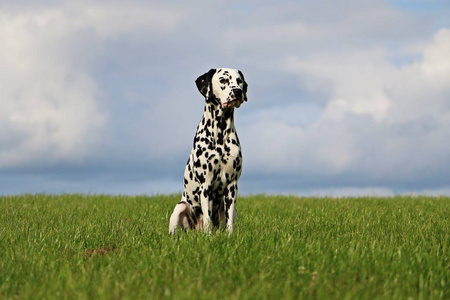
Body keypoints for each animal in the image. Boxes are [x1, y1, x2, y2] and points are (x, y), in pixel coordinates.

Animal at [169, 68, 248, 234]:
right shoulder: (205, 186)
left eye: (239, 81)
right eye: (223, 80)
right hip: (180, 207)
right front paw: (208, 235)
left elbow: (229, 221)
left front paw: (230, 236)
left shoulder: (232, 186)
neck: (220, 133)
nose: (237, 91)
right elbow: (207, 218)